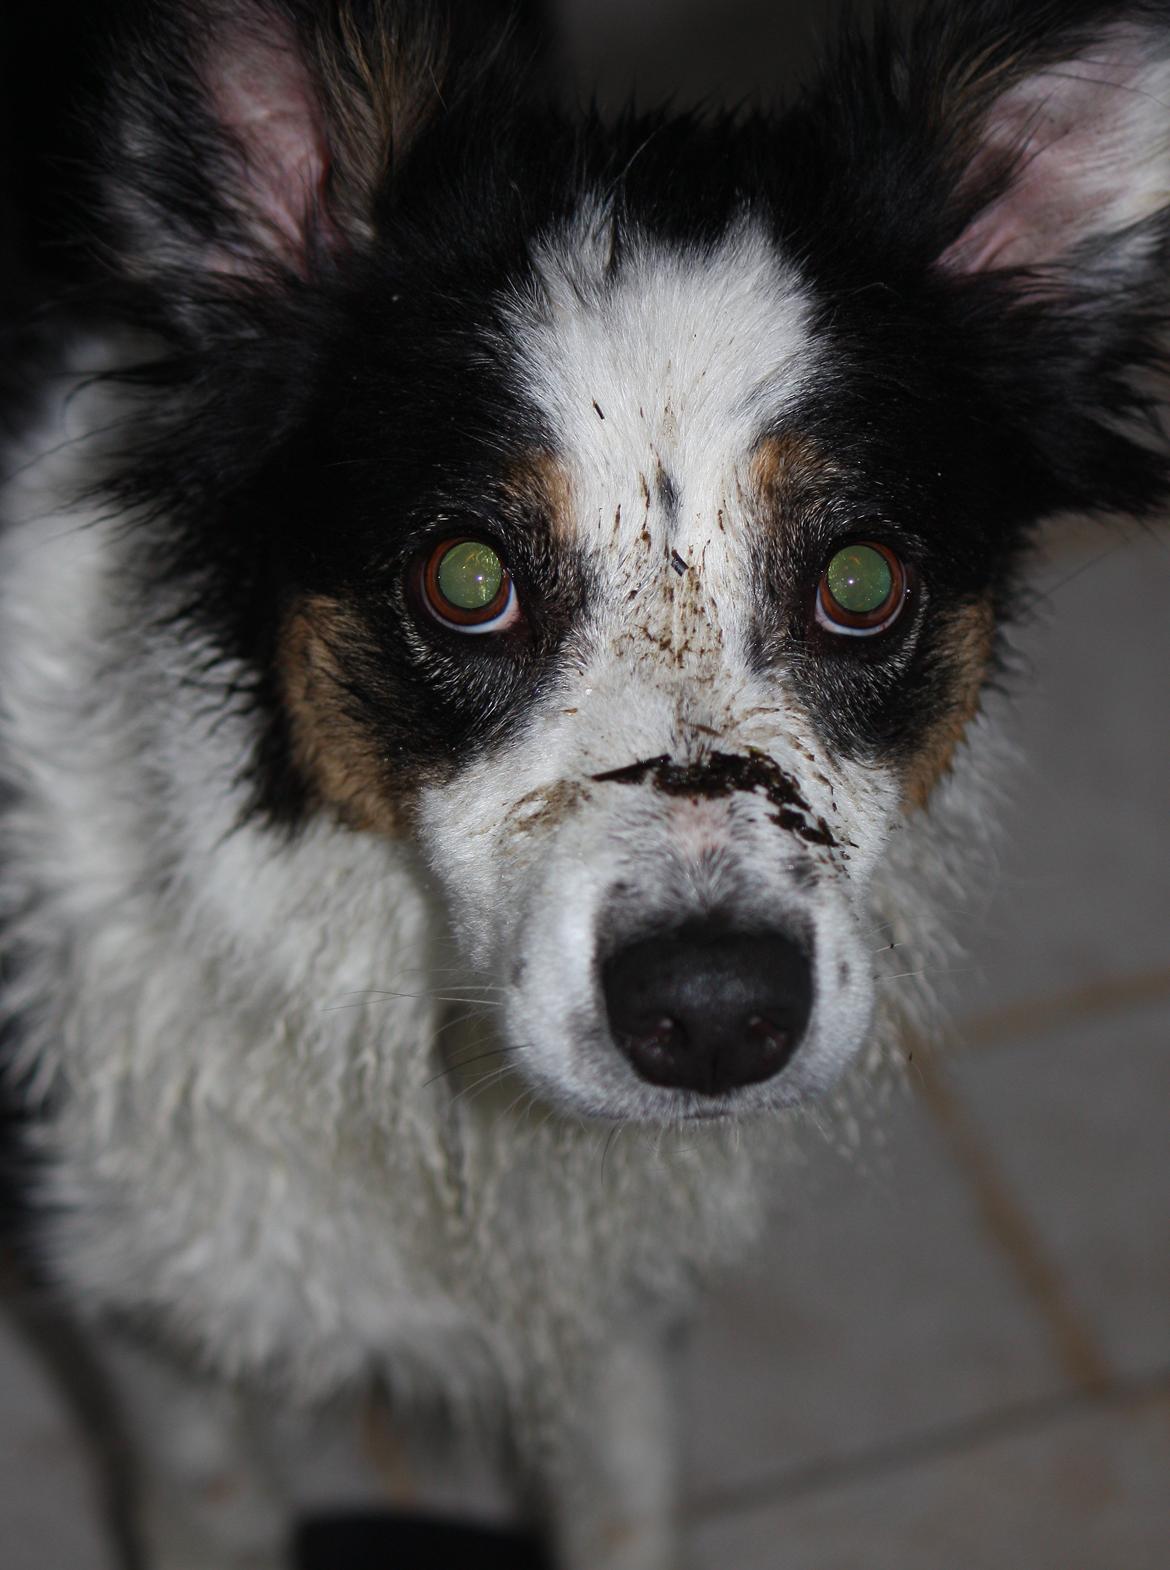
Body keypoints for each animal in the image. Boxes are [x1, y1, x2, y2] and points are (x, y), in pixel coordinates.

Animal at [2, 0, 1168, 1563]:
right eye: (464, 579)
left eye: (864, 582)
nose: (715, 1015)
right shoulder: (138, 1293)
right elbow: (211, 1495)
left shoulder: (618, 1309)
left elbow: (618, 1489)